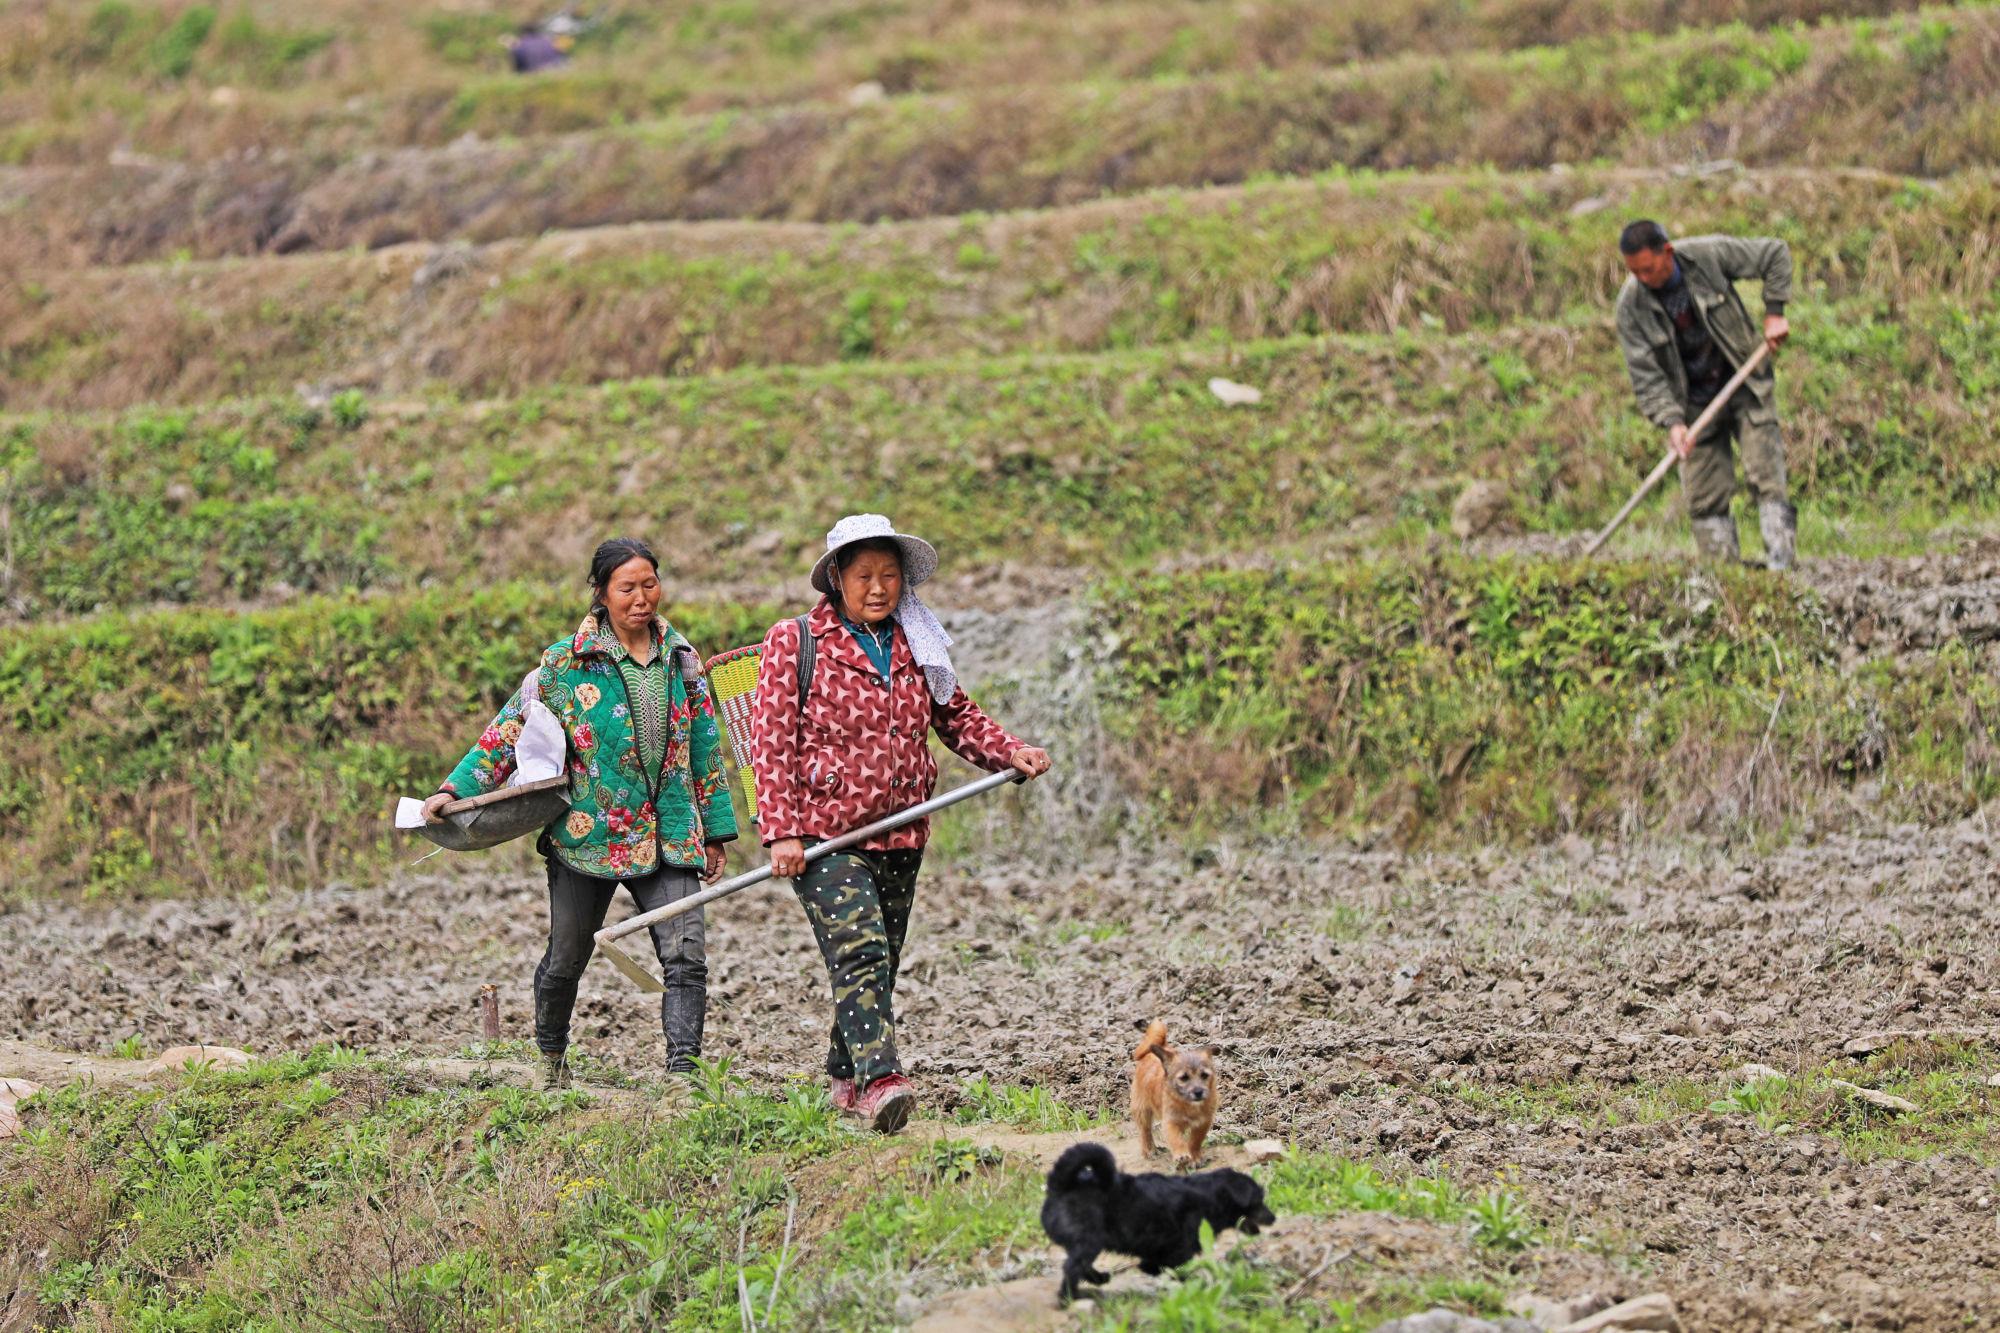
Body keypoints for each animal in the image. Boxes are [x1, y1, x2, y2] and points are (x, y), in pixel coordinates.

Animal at [1040, 1144, 1272, 1296]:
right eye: (1258, 1201)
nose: (1273, 1217)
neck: (1210, 1196)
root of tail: (1060, 1186)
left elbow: (1153, 1266)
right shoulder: (1180, 1250)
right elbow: (1170, 1268)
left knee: (1080, 1263)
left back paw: (1098, 1279)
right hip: (1089, 1239)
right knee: (1072, 1266)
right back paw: (1069, 1297)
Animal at [1128, 1016, 1216, 1160]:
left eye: (1204, 1075)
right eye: (1184, 1078)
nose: (1198, 1092)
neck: (1188, 1104)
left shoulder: (1203, 1123)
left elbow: (1195, 1140)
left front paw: (1195, 1156)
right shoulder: (1171, 1121)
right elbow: (1176, 1139)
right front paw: (1181, 1154)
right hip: (1142, 1109)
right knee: (1145, 1131)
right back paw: (1149, 1150)